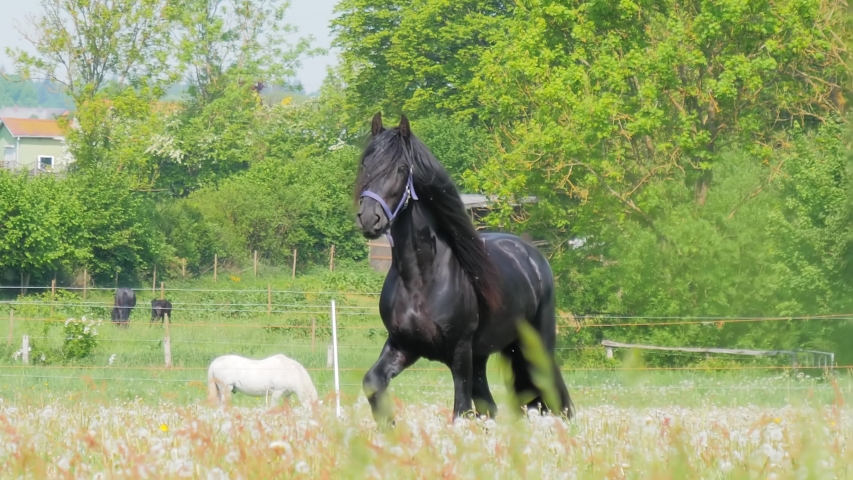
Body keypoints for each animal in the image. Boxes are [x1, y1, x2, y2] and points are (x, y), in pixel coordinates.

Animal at [354, 113, 572, 425]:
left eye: (401, 168)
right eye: (365, 164)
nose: (370, 219)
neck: (421, 279)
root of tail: (532, 255)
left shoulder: (459, 352)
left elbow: (461, 411)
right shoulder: (403, 345)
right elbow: (373, 382)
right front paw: (390, 427)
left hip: (534, 346)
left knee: (553, 397)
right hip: (483, 356)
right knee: (490, 407)